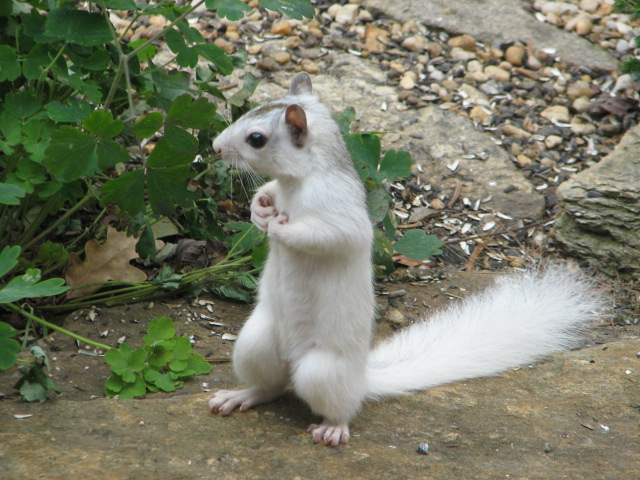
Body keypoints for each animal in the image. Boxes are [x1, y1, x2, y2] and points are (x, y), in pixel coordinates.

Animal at [208, 71, 604, 446]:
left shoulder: (341, 214)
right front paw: (260, 211)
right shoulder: (282, 188)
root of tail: (362, 378)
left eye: (256, 138)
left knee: (339, 406)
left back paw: (333, 427)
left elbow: (331, 236)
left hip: (321, 373)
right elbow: (267, 191)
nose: (214, 146)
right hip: (254, 346)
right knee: (270, 387)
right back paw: (239, 396)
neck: (298, 182)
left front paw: (279, 228)